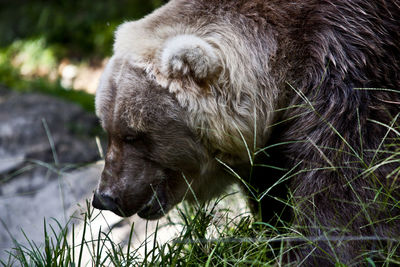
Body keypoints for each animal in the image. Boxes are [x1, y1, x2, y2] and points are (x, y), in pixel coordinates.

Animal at [91, 0, 400, 266]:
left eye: (133, 135)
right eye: (108, 130)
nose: (104, 197)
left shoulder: (351, 66)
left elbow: (346, 186)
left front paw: (319, 251)